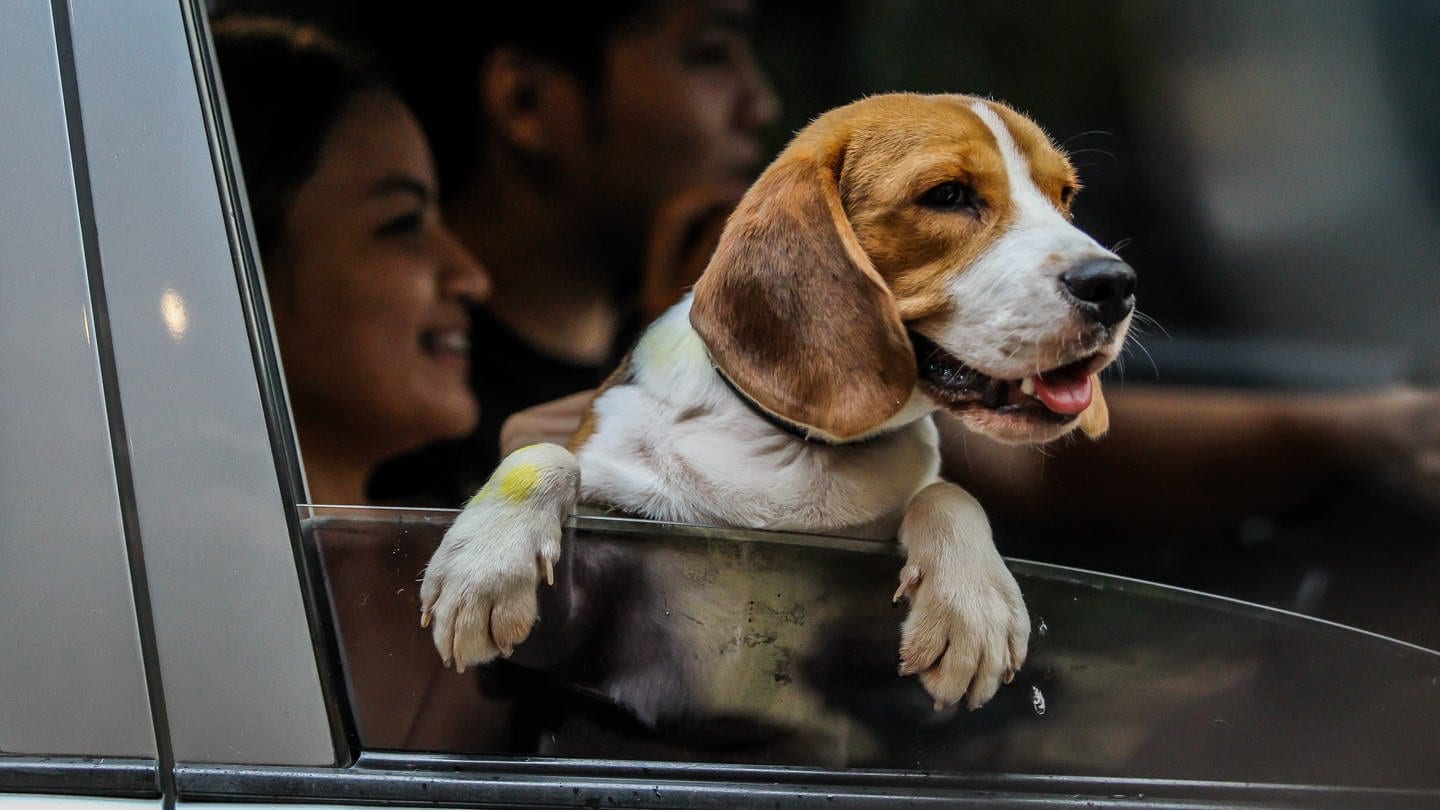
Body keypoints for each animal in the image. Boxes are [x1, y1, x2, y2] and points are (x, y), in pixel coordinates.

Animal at [420, 94, 1134, 709]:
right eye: (948, 195)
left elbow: (947, 493)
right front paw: (485, 567)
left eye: (1065, 198)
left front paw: (971, 601)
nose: (1116, 284)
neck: (796, 442)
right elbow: (545, 456)